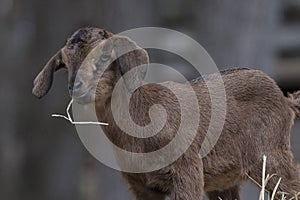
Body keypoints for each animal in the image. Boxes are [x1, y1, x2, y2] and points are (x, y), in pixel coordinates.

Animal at [31, 27, 300, 200]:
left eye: (106, 55)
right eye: (65, 62)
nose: (77, 87)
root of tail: (285, 99)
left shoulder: (188, 171)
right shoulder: (142, 185)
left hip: (269, 155)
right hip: (226, 179)